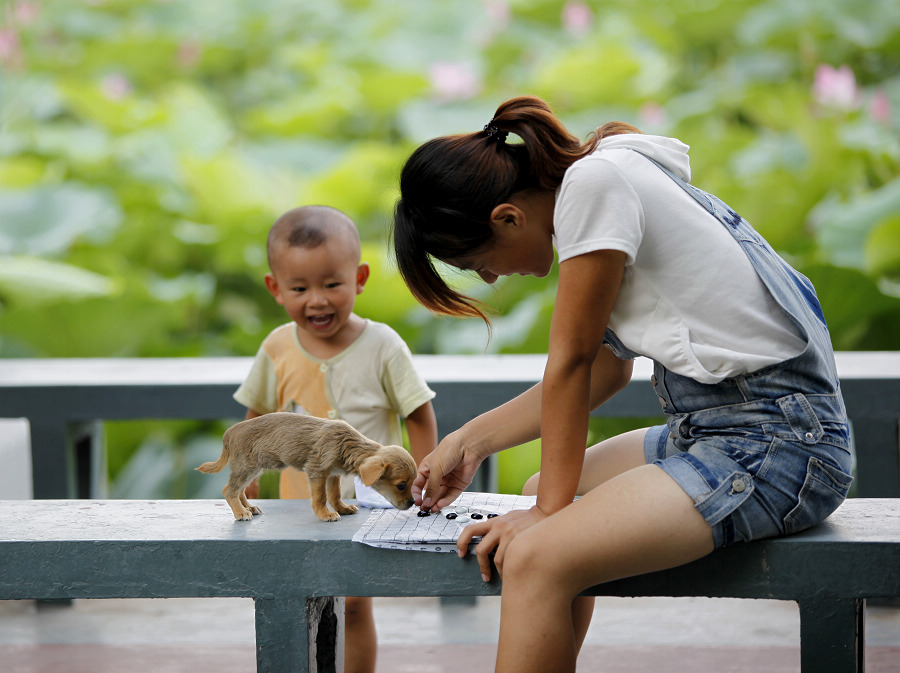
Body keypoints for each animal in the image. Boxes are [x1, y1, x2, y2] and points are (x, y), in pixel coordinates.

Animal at [197, 412, 414, 524]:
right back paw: (241, 513)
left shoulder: (332, 474)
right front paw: (325, 514)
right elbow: (321, 497)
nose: (413, 503)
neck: (346, 444)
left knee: (239, 490)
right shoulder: (316, 471)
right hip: (246, 468)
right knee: (229, 490)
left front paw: (342, 508)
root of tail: (229, 432)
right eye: (401, 485)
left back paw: (248, 507)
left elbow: (335, 494)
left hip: (252, 469)